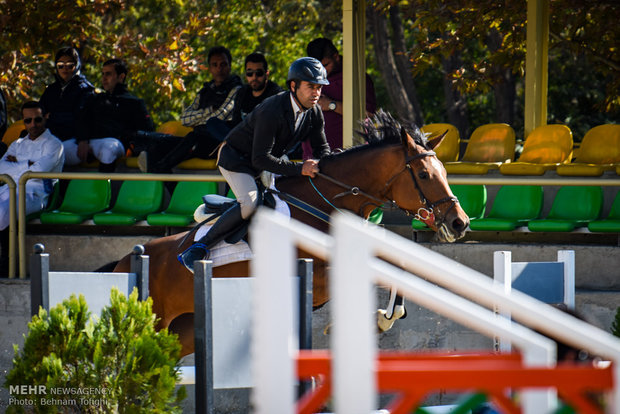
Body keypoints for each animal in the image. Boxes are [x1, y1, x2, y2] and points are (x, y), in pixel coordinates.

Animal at [114, 111, 468, 356]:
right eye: (424, 174)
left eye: (444, 171)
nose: (459, 223)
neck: (326, 205)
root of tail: (123, 262)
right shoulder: (317, 276)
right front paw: (349, 324)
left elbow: (397, 270)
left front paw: (383, 317)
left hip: (180, 333)